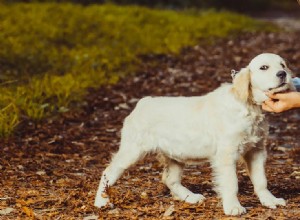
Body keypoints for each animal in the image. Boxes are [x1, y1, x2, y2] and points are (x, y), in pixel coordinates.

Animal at [95, 52, 294, 215]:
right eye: (264, 67)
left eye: (283, 65)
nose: (282, 74)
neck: (249, 107)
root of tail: (142, 102)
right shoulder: (226, 154)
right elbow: (231, 183)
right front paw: (233, 207)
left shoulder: (256, 150)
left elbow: (261, 180)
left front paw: (269, 200)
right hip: (132, 150)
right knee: (108, 172)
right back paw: (101, 202)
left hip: (174, 154)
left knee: (169, 179)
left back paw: (190, 197)